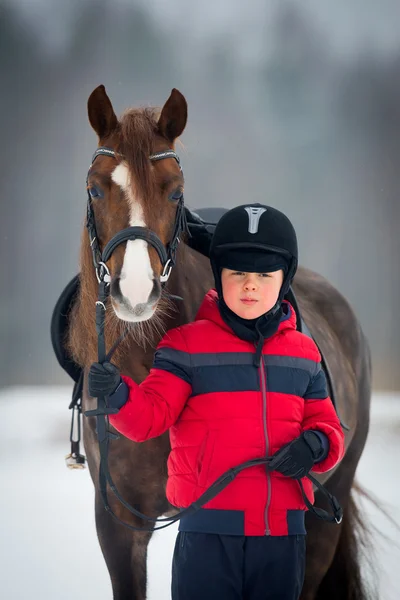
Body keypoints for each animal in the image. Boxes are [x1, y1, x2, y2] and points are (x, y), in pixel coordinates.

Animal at [66, 85, 372, 600]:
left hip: (324, 515)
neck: (145, 368)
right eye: (94, 187)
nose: (135, 291)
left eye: (174, 189)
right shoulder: (119, 524)